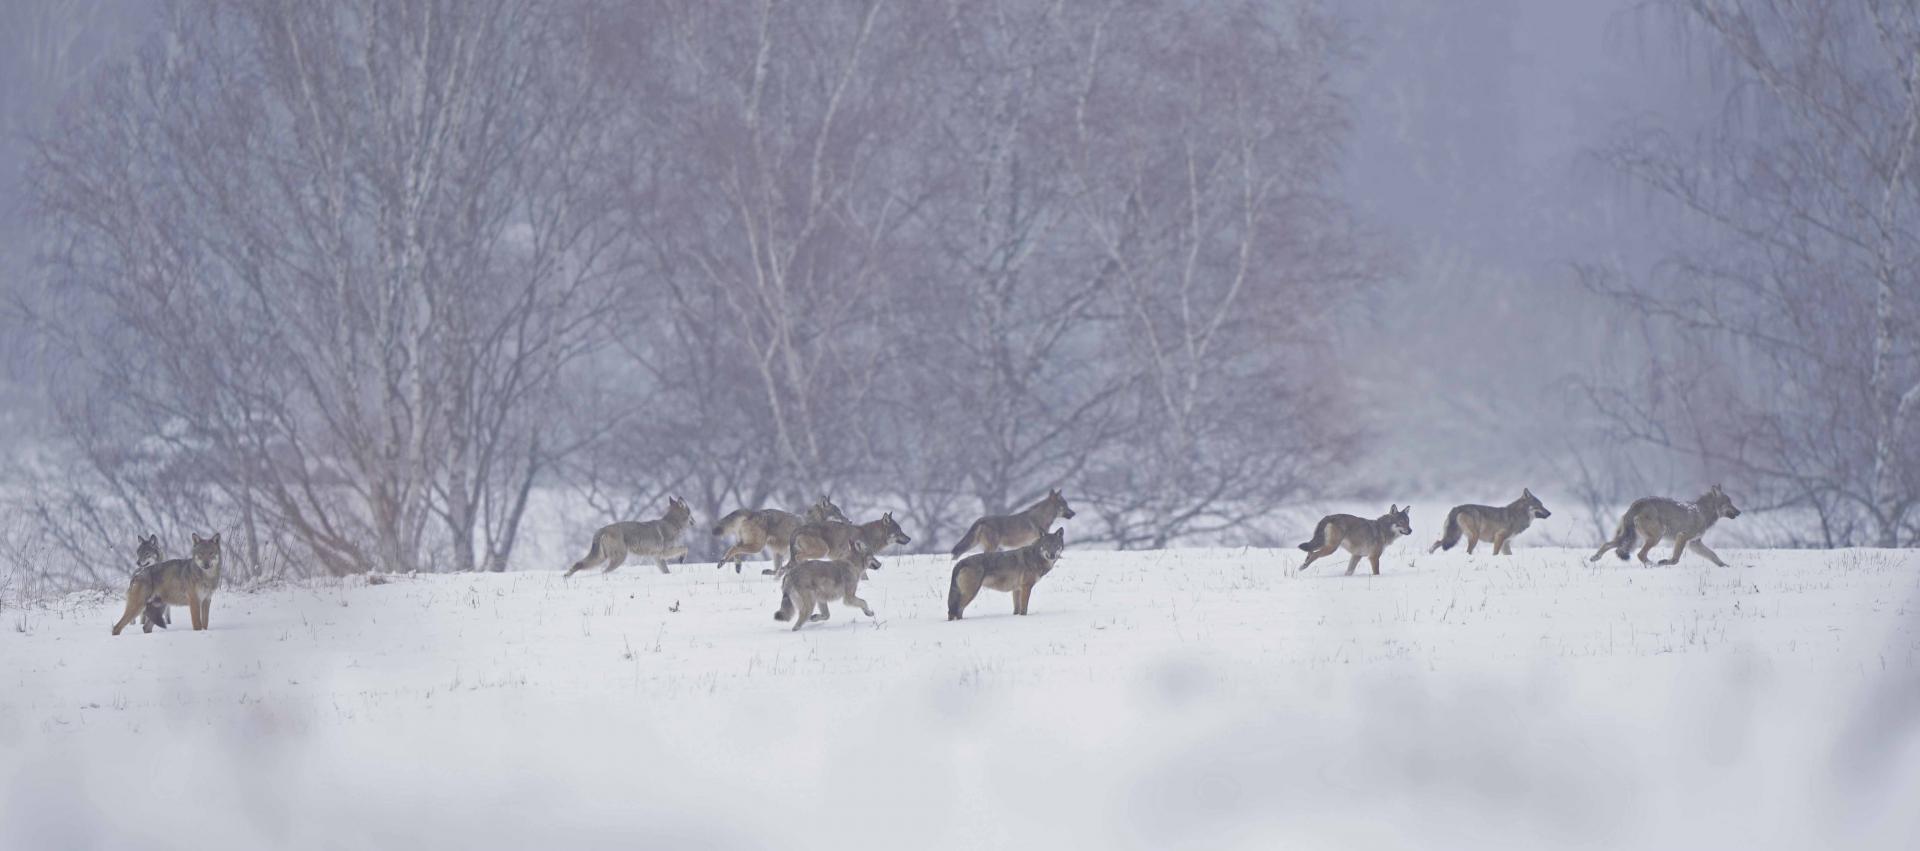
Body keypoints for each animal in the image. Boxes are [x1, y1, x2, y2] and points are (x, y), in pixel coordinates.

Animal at [560, 499, 698, 580]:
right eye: (691, 512)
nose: (695, 522)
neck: (672, 523)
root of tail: (602, 529)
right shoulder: (665, 552)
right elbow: (685, 547)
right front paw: (681, 559)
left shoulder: (657, 557)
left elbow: (666, 571)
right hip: (619, 558)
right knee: (604, 571)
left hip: (601, 558)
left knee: (579, 564)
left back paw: (567, 576)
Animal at [714, 495, 848, 576]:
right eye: (838, 513)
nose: (849, 521)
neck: (813, 520)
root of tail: (753, 512)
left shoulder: (779, 552)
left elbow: (778, 569)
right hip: (757, 547)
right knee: (734, 548)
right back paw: (722, 562)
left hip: (750, 544)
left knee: (736, 550)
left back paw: (737, 566)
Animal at [787, 514, 921, 572]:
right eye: (898, 531)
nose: (910, 539)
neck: (869, 535)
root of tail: (797, 529)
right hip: (822, 551)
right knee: (799, 557)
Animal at [1589, 486, 1743, 564]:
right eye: (1729, 503)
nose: (1740, 511)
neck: (1703, 512)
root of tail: (1637, 503)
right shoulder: (1683, 537)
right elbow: (1675, 560)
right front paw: (1664, 562)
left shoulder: (1694, 543)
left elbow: (1713, 555)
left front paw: (1725, 566)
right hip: (1656, 537)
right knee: (1640, 554)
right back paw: (1652, 565)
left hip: (1631, 538)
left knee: (1607, 545)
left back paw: (1594, 558)